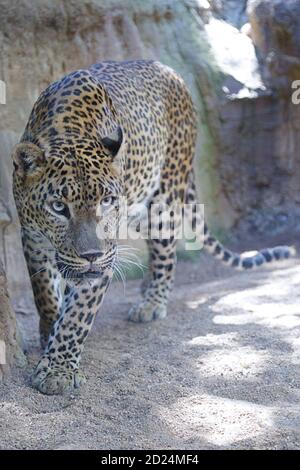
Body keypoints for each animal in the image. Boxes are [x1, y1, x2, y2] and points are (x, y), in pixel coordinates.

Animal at [12, 60, 296, 394]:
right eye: (59, 207)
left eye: (107, 201)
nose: (91, 256)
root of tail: (169, 71)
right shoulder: (32, 238)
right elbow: (44, 294)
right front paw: (49, 333)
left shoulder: (106, 257)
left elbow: (77, 315)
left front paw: (58, 370)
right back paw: (145, 286)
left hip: (164, 197)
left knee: (166, 253)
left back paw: (152, 303)